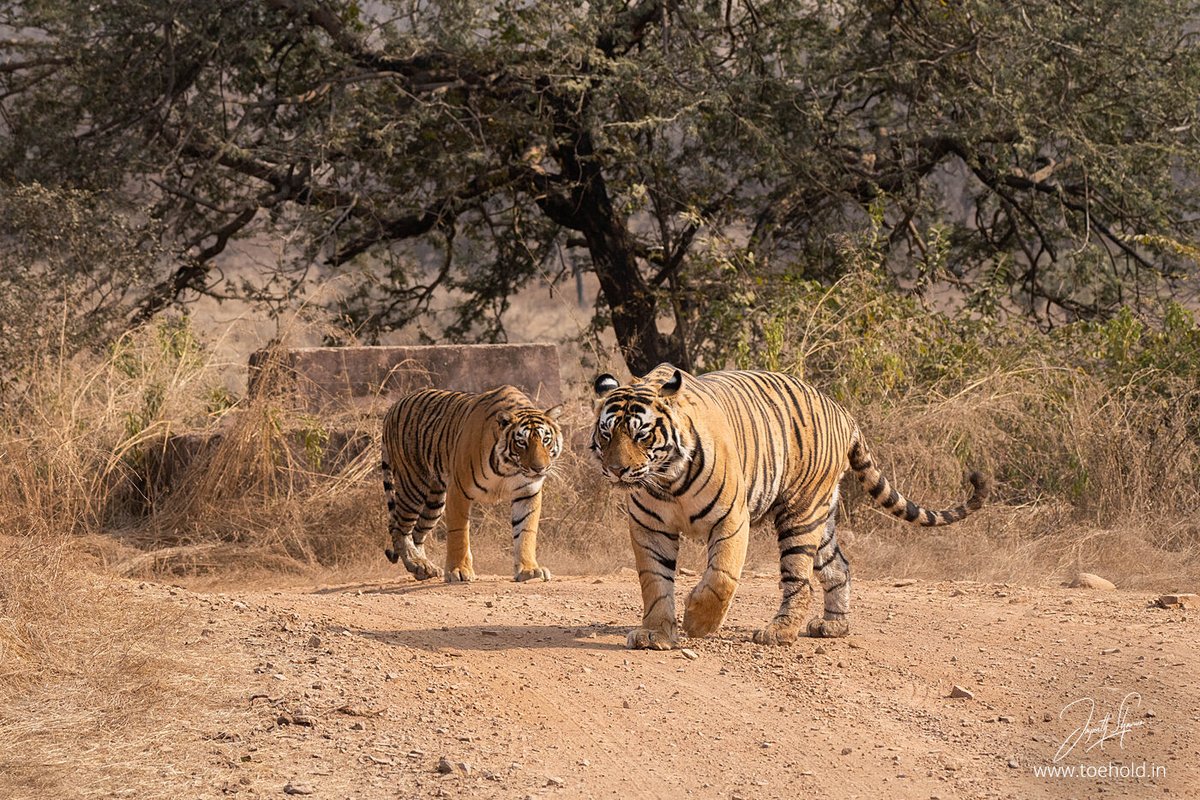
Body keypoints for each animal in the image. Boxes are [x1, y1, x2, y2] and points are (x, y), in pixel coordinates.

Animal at [381, 385, 563, 583]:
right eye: (522, 442)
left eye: (545, 440)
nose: (539, 468)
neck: (508, 467)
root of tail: (394, 406)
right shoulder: (459, 490)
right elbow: (459, 533)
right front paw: (458, 571)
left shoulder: (527, 493)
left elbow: (526, 532)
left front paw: (529, 570)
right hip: (413, 486)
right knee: (398, 528)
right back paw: (416, 563)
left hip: (434, 500)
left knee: (418, 532)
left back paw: (425, 568)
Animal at [591, 364, 990, 650]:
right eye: (607, 434)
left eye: (642, 434)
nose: (617, 470)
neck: (667, 480)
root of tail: (844, 413)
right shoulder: (649, 527)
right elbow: (655, 582)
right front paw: (656, 634)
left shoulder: (731, 519)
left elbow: (721, 577)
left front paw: (697, 623)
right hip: (821, 518)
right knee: (839, 567)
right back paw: (833, 625)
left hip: (800, 514)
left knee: (801, 580)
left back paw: (779, 632)